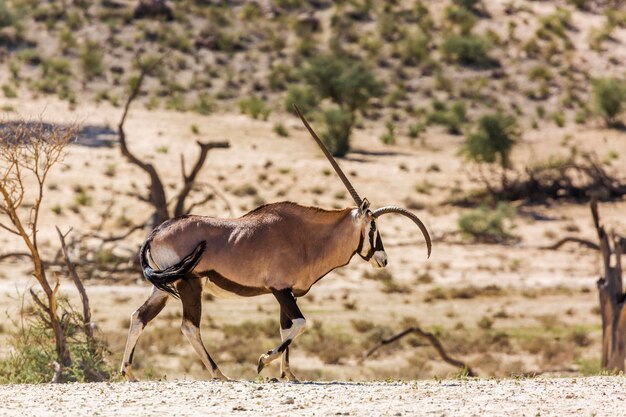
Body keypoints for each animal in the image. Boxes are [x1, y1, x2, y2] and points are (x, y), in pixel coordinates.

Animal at [120, 106, 434, 380]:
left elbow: (287, 329)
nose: (383, 259)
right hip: (189, 284)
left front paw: (288, 375)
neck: (306, 237)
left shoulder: (288, 293)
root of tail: (156, 233)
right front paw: (263, 361)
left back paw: (128, 373)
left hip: (165, 286)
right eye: (373, 226)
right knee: (189, 327)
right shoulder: (280, 289)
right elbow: (301, 324)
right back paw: (219, 374)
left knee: (140, 316)